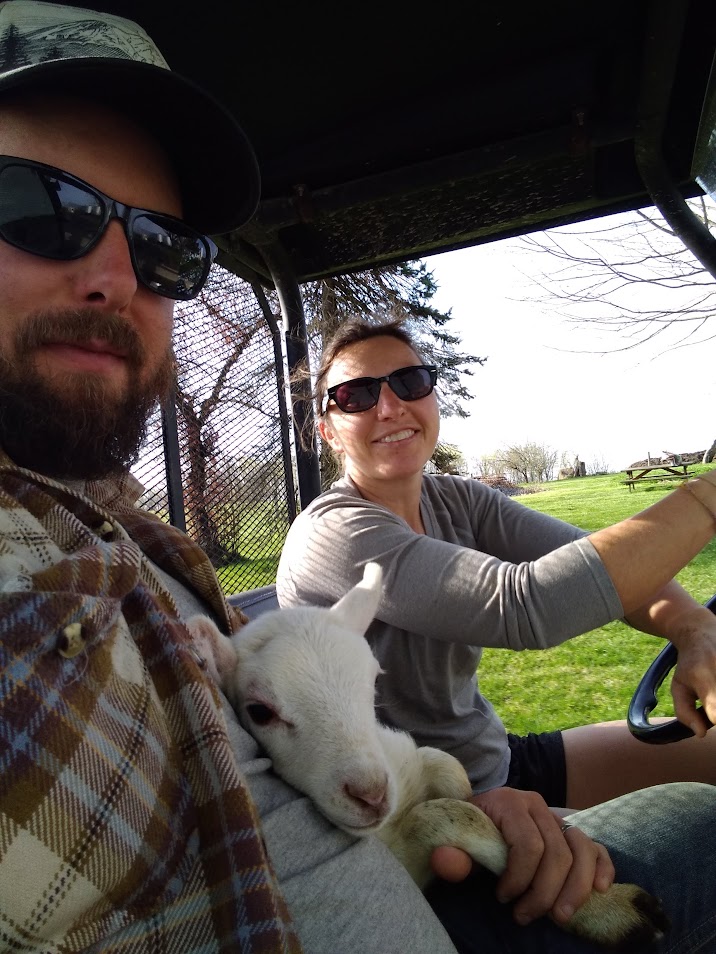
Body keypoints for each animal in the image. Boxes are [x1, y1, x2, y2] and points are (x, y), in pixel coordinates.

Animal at [188, 563, 668, 952]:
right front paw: (612, 911)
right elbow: (437, 817)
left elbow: (447, 769)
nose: (371, 795)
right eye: (259, 712)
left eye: (373, 680)